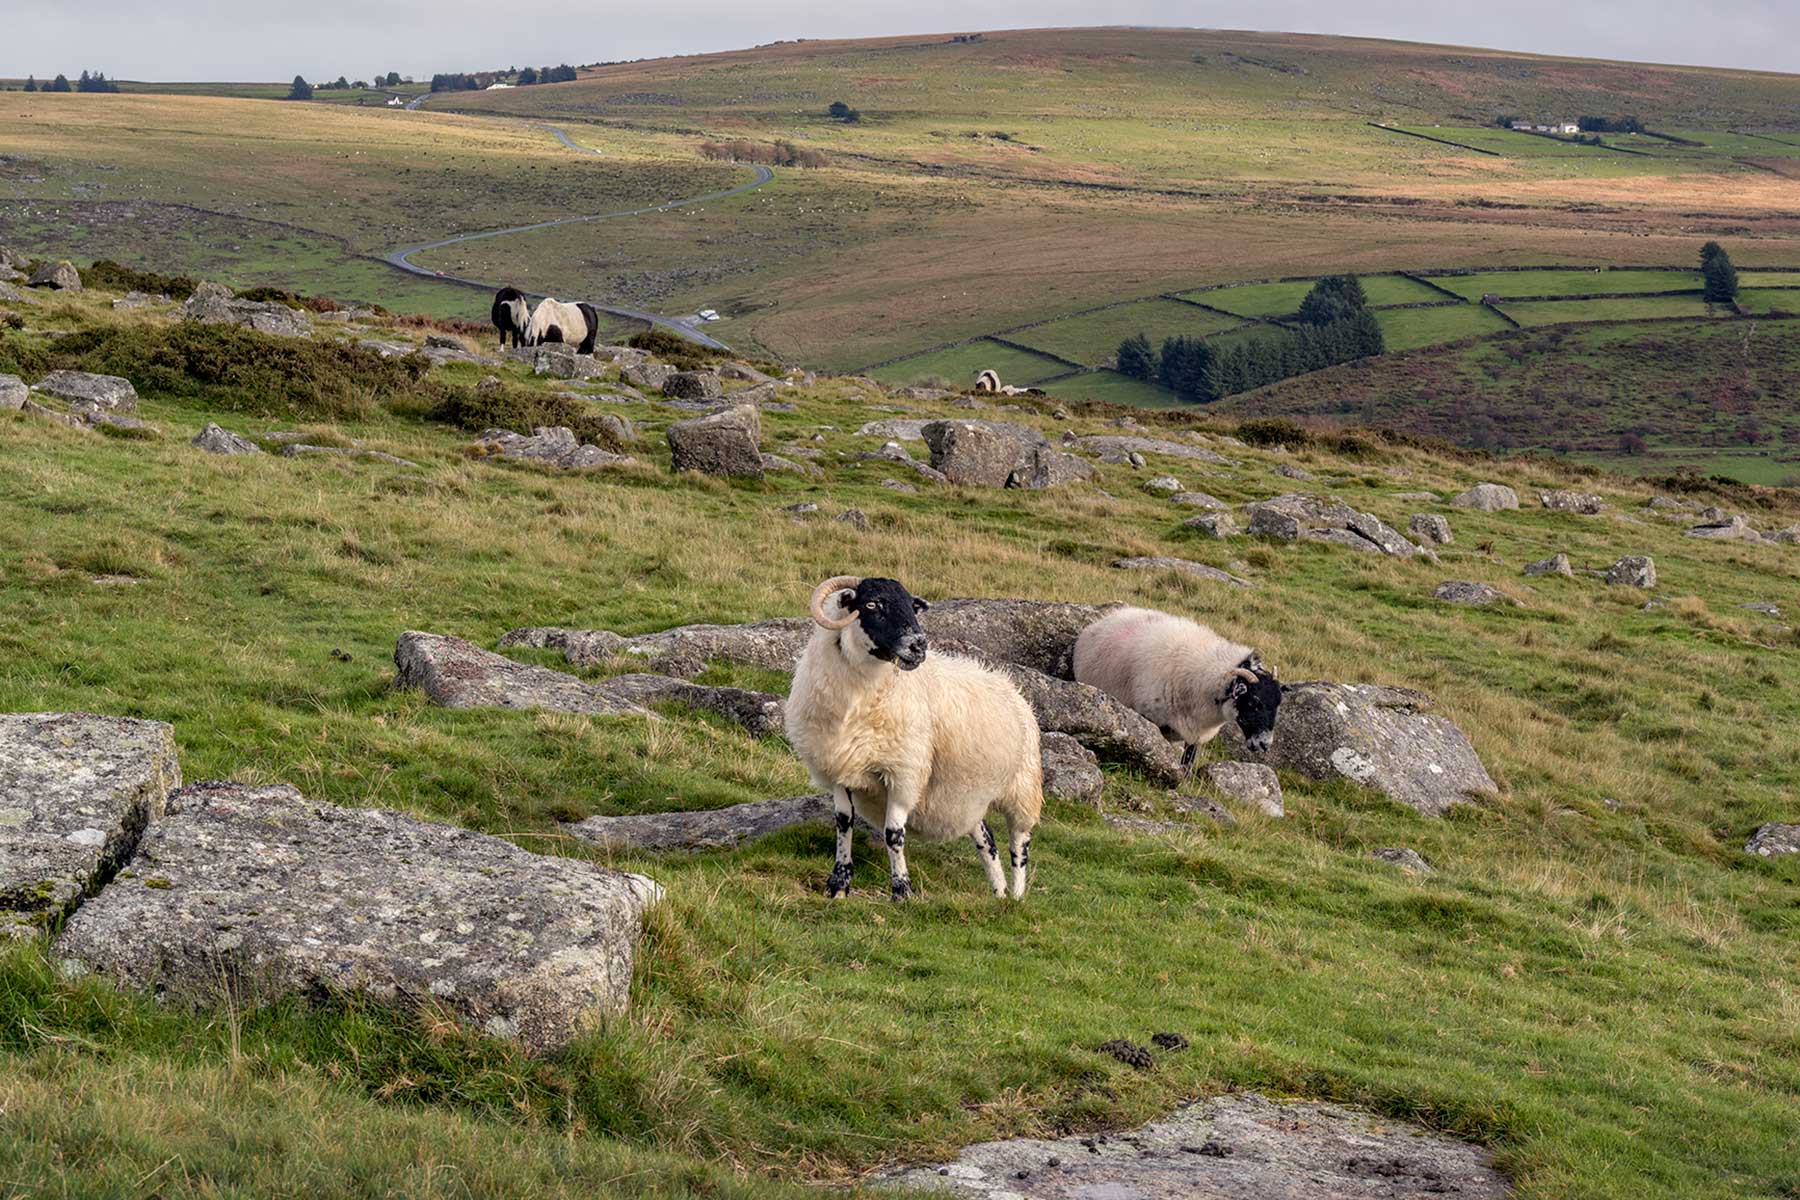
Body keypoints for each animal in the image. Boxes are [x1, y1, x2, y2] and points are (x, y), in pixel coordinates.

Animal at [784, 575, 1043, 901]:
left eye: (912, 606)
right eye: (872, 604)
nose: (919, 646)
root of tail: (1012, 687)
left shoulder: (903, 771)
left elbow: (893, 834)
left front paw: (902, 890)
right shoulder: (839, 768)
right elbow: (843, 823)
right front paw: (839, 884)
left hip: (1023, 786)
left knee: (1020, 843)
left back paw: (1017, 896)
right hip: (968, 795)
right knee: (987, 838)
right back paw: (999, 893)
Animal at [1072, 606, 1283, 774]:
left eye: (1277, 704)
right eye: (1254, 702)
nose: (1264, 744)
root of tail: (1112, 615)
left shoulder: (1195, 734)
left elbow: (1187, 762)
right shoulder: (1151, 718)